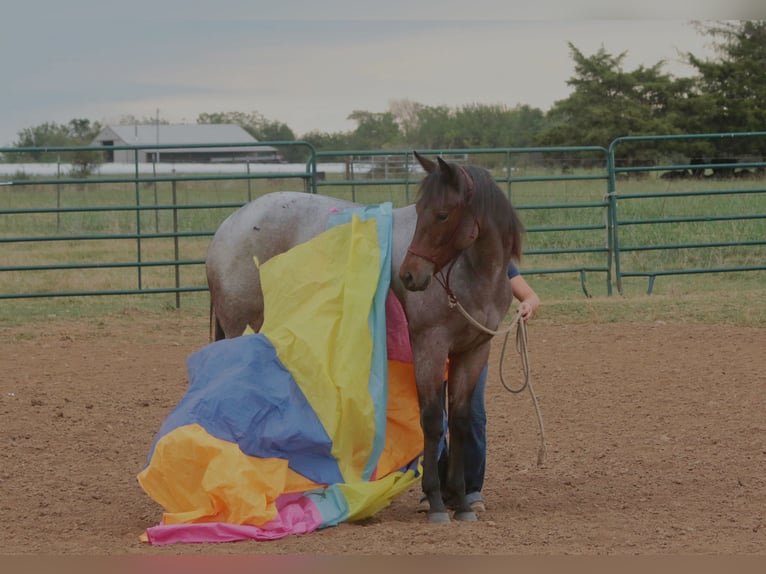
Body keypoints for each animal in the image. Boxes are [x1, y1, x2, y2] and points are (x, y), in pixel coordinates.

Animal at [205, 152, 524, 523]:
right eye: (422, 210)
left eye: (442, 214)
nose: (410, 275)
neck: (471, 273)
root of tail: (229, 225)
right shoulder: (430, 347)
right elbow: (432, 422)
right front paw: (436, 502)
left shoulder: (473, 351)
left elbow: (458, 422)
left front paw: (461, 502)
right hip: (240, 329)